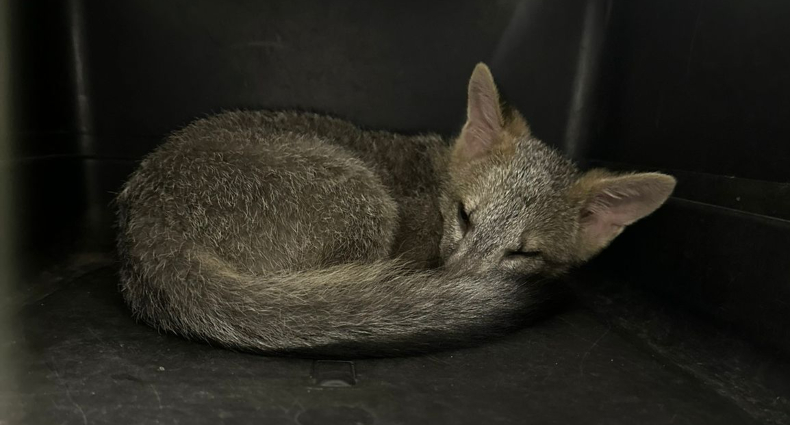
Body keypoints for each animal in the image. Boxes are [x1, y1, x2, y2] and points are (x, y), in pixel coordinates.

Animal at [116, 63, 675, 357]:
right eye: (465, 216)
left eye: (524, 253)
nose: (454, 284)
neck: (434, 183)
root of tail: (145, 223)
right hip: (364, 204)